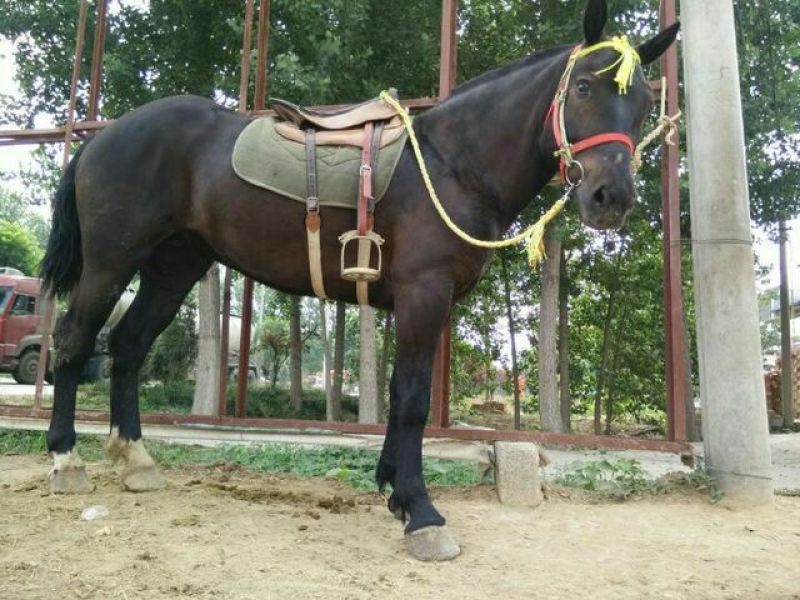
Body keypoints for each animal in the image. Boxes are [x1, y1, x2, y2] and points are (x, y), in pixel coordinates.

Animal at [41, 0, 678, 561]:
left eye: (646, 102)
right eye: (584, 87)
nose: (611, 198)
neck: (454, 163)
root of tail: (102, 136)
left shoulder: (426, 303)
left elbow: (398, 394)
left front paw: (394, 490)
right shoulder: (424, 293)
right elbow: (414, 400)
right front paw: (421, 513)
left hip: (174, 266)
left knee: (128, 346)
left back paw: (136, 461)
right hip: (110, 262)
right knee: (74, 341)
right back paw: (66, 460)